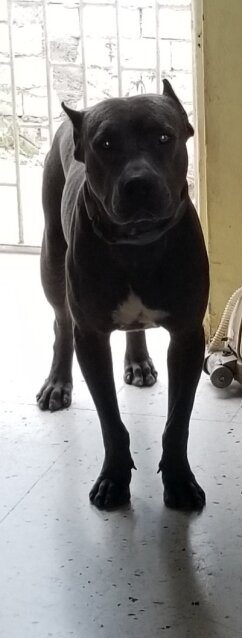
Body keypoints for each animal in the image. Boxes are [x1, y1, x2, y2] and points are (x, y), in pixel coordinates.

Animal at [36, 80, 209, 512]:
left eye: (164, 137)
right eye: (106, 144)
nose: (138, 183)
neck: (138, 244)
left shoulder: (187, 336)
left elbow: (177, 420)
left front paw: (179, 480)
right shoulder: (92, 338)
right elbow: (110, 421)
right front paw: (113, 479)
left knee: (133, 328)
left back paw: (139, 361)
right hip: (51, 260)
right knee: (61, 323)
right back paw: (58, 383)